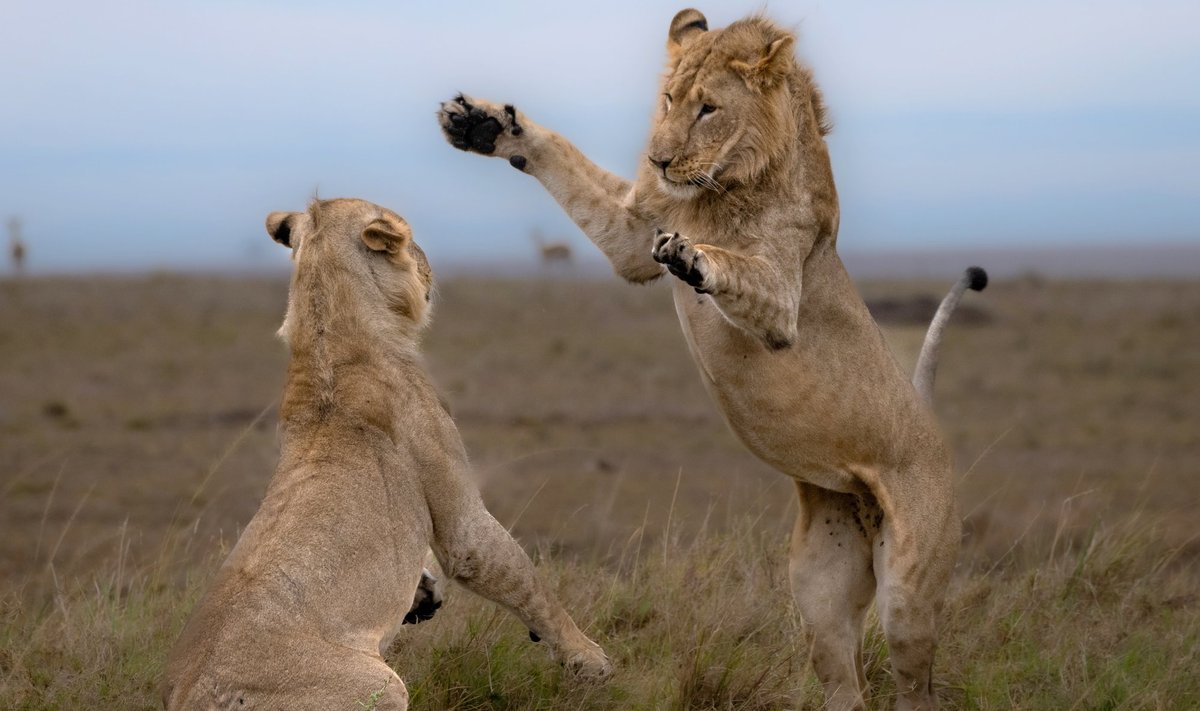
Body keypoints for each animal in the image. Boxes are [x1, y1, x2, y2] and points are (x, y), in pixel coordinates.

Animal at [160, 198, 614, 711]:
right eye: (411, 242)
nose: (432, 267)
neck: (326, 344)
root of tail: (189, 693)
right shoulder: (462, 525)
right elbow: (523, 579)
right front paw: (588, 659)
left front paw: (426, 591)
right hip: (378, 683)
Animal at [439, 6, 984, 711]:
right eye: (669, 99)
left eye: (709, 108)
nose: (658, 158)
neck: (716, 187)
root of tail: (934, 430)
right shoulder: (631, 239)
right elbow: (564, 158)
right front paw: (486, 124)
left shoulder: (781, 304)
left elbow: (737, 268)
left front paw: (696, 256)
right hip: (820, 588)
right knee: (846, 681)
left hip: (909, 591)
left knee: (916, 681)